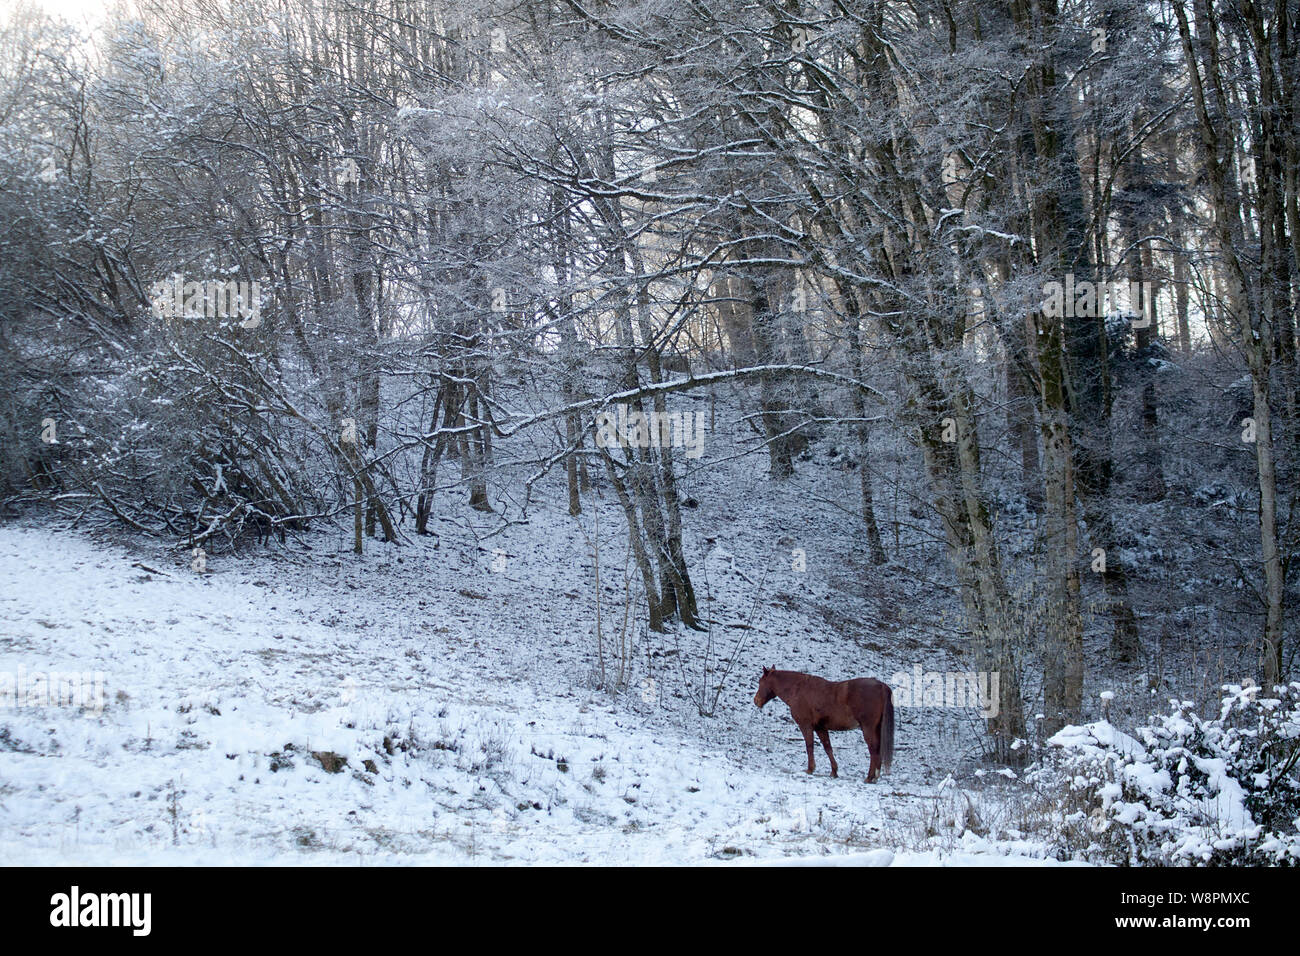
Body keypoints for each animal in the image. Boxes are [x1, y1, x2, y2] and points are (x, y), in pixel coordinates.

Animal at [753, 667, 894, 782]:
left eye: (760, 682)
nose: (756, 701)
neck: (798, 689)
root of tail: (881, 685)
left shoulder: (806, 726)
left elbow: (809, 746)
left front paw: (810, 769)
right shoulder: (820, 728)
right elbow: (828, 748)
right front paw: (834, 771)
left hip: (868, 729)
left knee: (873, 749)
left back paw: (870, 777)